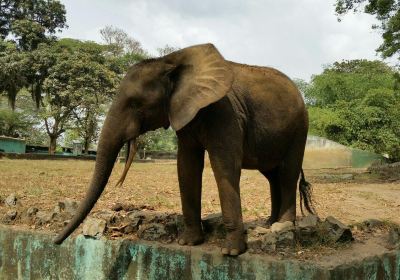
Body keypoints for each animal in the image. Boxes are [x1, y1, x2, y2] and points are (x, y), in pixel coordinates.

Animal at [54, 43, 316, 256]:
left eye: (136, 104)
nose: (56, 242)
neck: (169, 62)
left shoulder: (225, 112)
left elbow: (224, 167)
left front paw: (231, 252)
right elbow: (186, 166)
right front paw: (188, 243)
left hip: (300, 127)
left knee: (287, 172)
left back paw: (282, 226)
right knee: (272, 175)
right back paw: (269, 224)